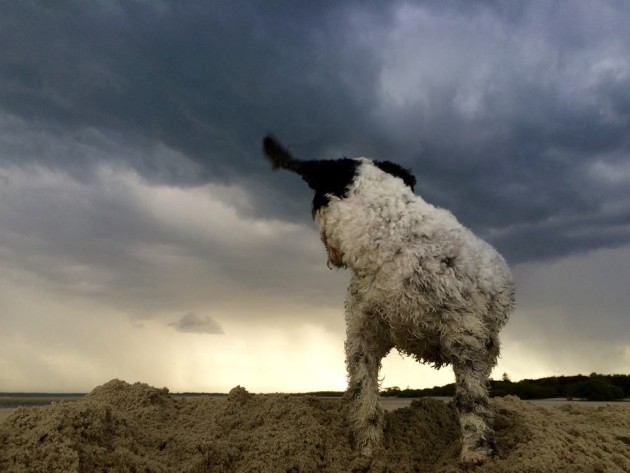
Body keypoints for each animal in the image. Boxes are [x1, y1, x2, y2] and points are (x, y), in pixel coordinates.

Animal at [264, 136, 516, 464]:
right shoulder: (363, 337)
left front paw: (476, 451)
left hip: (488, 341)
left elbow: (470, 398)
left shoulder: (465, 335)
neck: (389, 235)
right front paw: (368, 450)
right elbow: (364, 397)